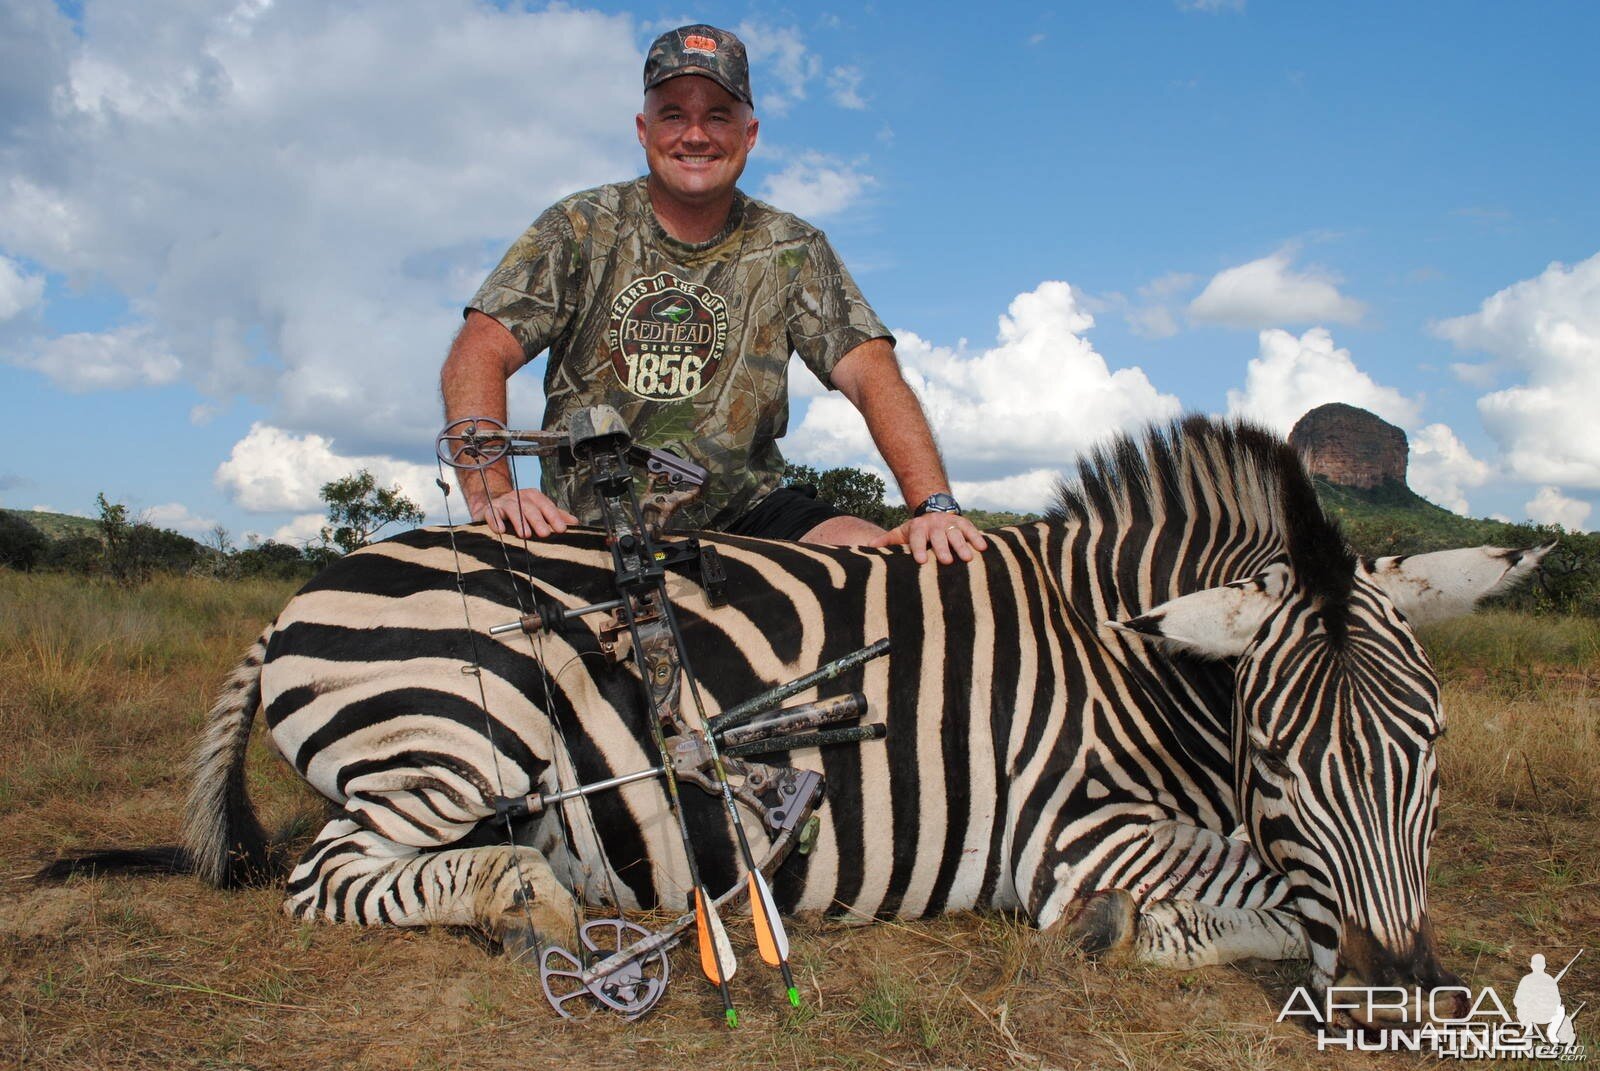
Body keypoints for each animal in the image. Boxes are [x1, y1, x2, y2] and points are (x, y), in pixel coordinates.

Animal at [53, 413, 1548, 1018]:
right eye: (1279, 759)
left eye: (1432, 751)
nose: (1404, 990)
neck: (1126, 660)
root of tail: (299, 595)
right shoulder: (1075, 834)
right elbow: (1261, 895)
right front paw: (1137, 932)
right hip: (443, 744)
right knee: (333, 872)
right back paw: (528, 902)